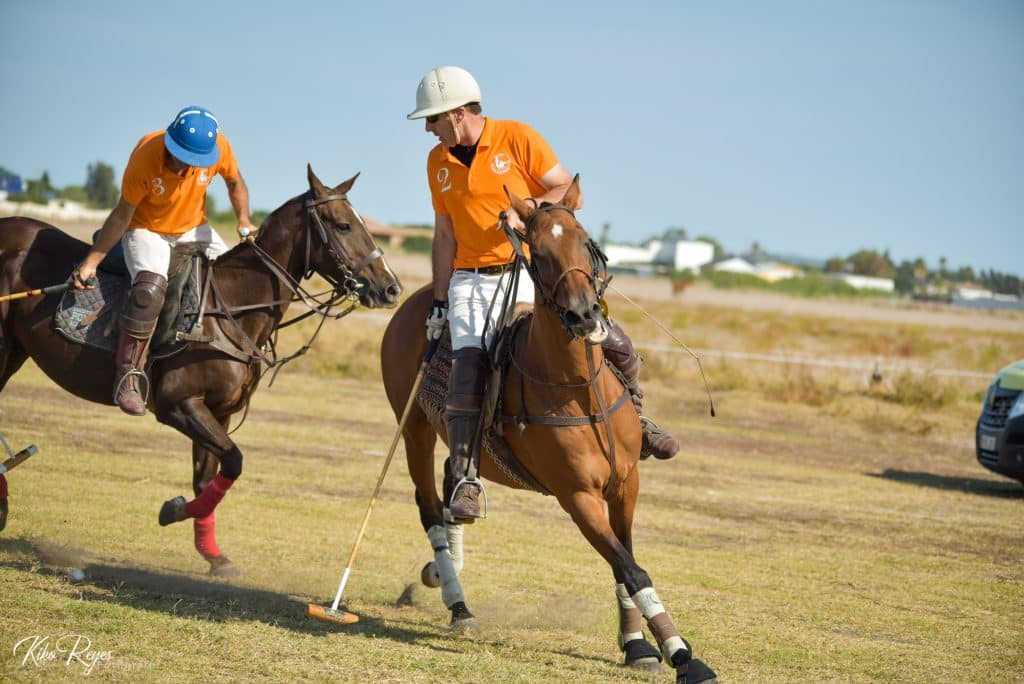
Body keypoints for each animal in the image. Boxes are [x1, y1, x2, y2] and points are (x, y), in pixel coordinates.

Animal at [0, 166, 401, 577]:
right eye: (343, 225)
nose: (391, 288)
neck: (230, 309)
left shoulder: (218, 412)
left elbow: (209, 476)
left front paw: (213, 554)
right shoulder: (180, 405)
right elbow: (234, 462)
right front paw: (173, 510)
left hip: (16, 351)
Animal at [380, 178, 716, 684]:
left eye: (586, 242)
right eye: (536, 253)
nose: (584, 316)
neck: (577, 389)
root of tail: (418, 298)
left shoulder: (626, 484)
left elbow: (624, 563)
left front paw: (638, 645)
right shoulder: (576, 495)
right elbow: (631, 568)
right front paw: (682, 654)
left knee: (454, 478)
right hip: (414, 428)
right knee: (430, 508)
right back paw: (458, 603)